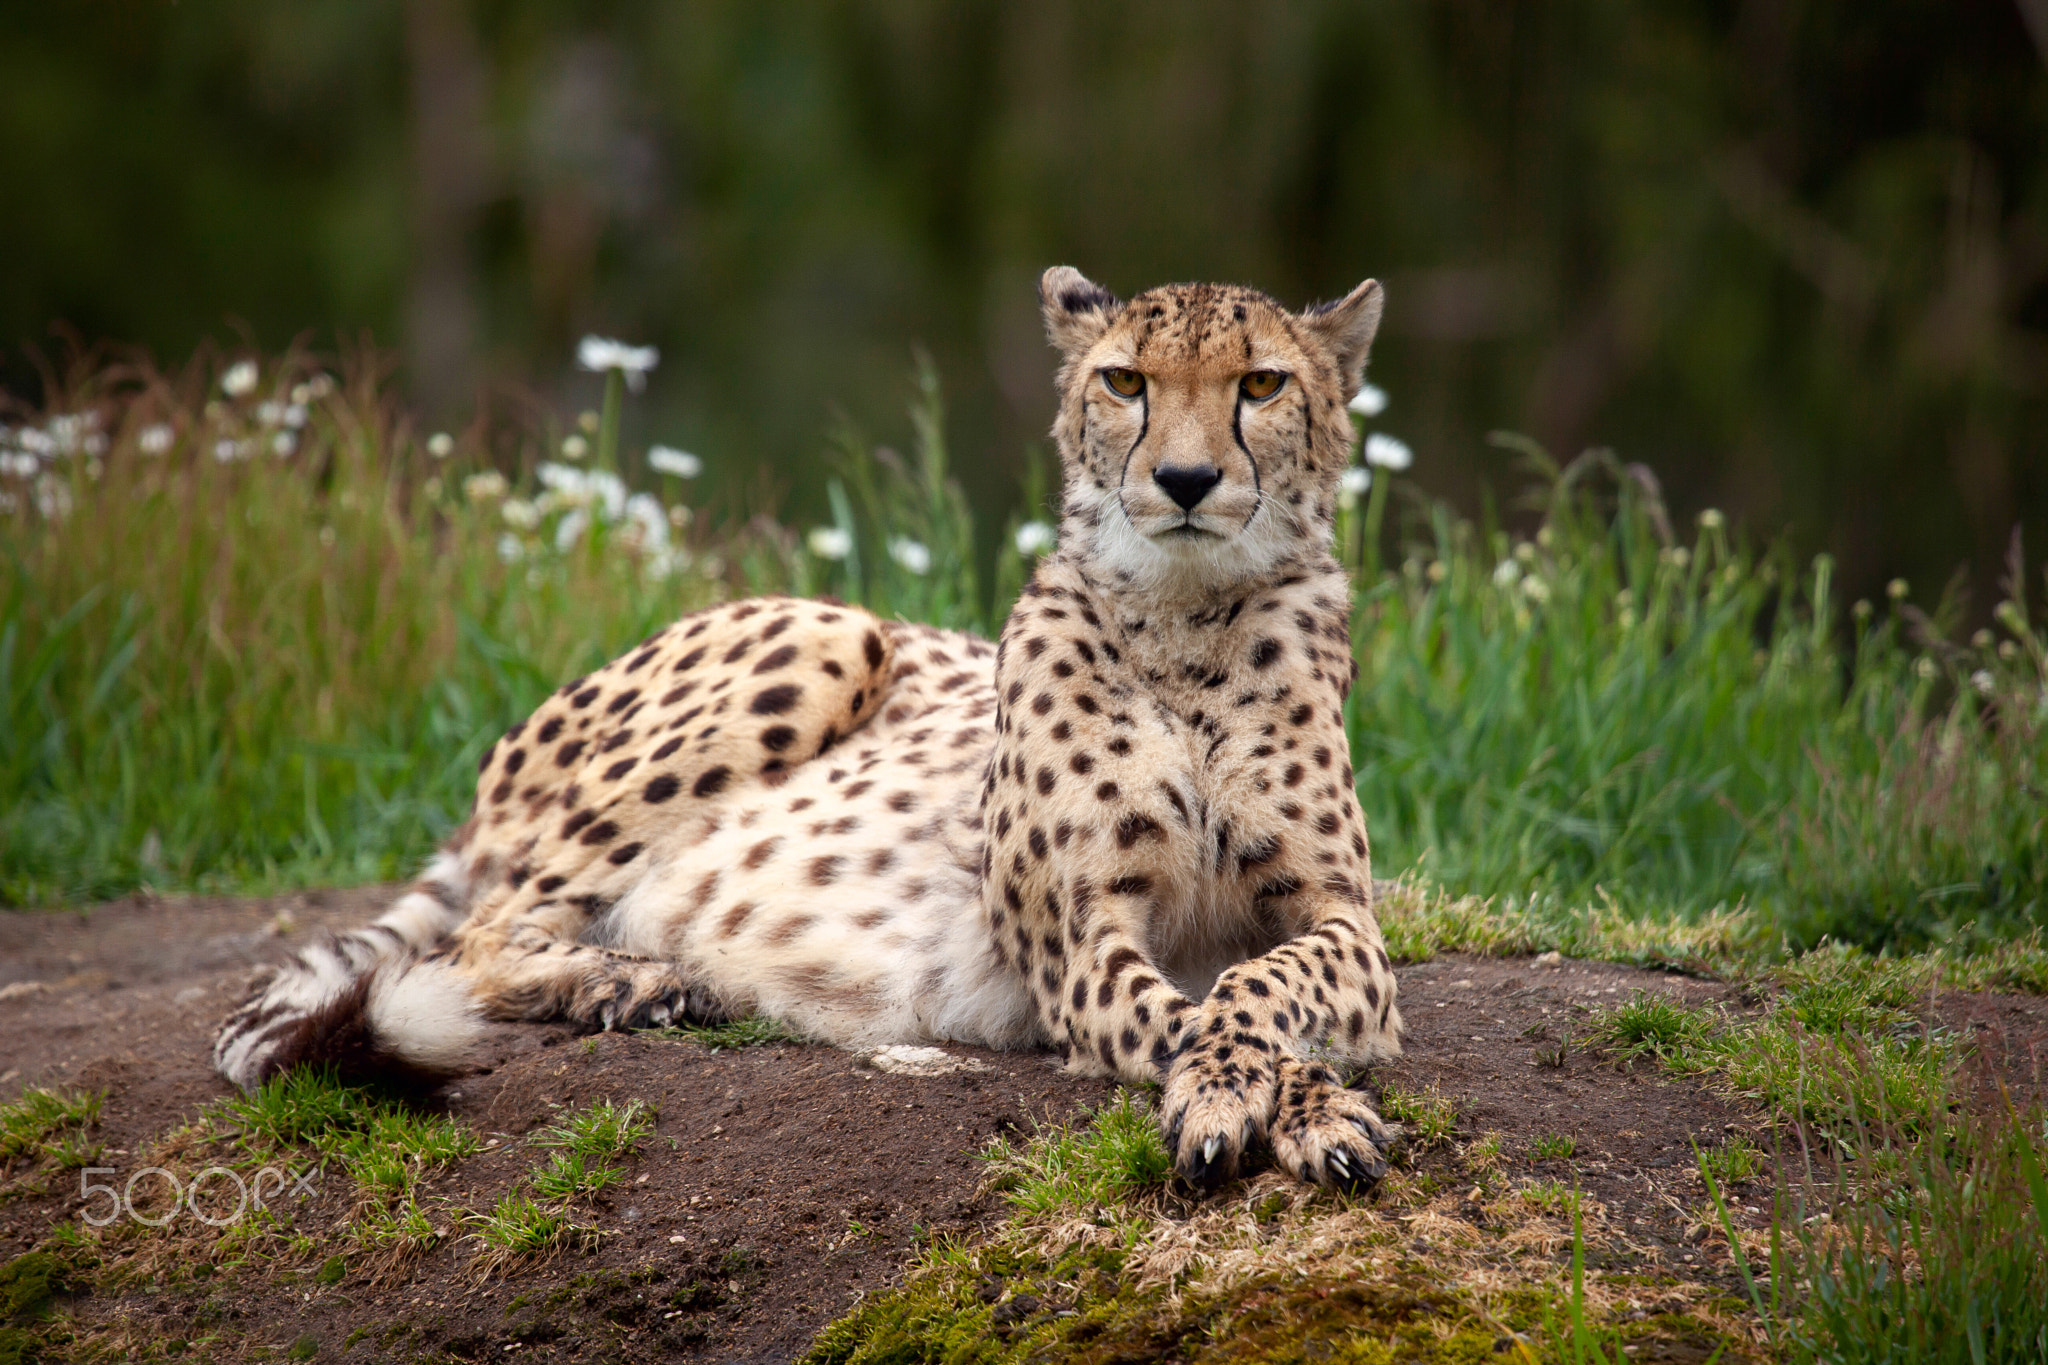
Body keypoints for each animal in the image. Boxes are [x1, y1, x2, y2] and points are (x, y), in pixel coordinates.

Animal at [215, 266, 1406, 1191]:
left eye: (1261, 383)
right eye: (1125, 382)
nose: (1186, 479)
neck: (1187, 620)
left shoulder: (1344, 921)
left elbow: (1259, 987)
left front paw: (1289, 1100)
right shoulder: (1080, 943)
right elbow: (1191, 1018)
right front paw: (1276, 1100)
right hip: (835, 632)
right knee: (481, 933)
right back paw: (624, 978)